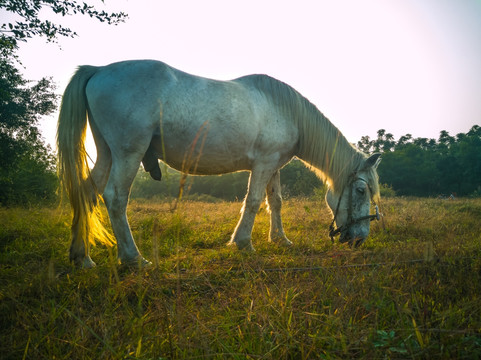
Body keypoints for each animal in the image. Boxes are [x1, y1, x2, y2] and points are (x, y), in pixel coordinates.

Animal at [56, 59, 380, 268]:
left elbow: (275, 202)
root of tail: (98, 70)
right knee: (115, 197)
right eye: (361, 190)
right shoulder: (263, 164)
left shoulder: (273, 165)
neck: (286, 111)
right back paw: (133, 258)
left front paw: (280, 240)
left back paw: (82, 258)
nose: (360, 239)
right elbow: (253, 201)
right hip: (128, 155)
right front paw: (243, 242)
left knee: (87, 193)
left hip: (107, 154)